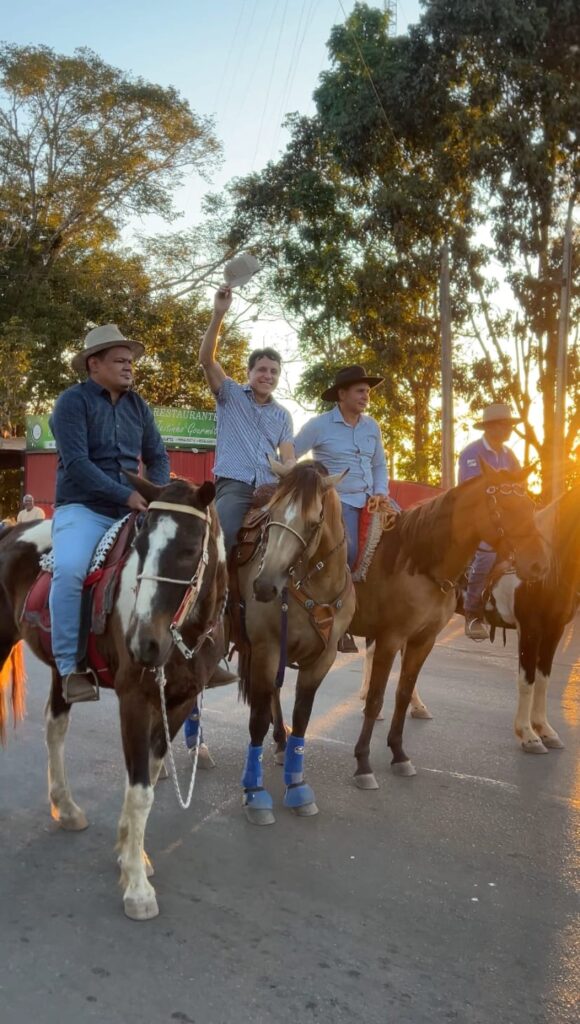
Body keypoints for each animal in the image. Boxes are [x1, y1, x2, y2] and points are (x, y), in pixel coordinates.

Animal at [0, 475, 227, 925]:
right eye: (141, 545)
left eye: (190, 549)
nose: (144, 643)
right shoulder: (135, 700)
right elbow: (140, 790)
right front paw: (137, 887)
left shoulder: (177, 703)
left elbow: (148, 778)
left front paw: (129, 853)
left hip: (62, 670)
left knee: (55, 727)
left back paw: (67, 808)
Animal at [237, 460, 356, 827]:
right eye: (272, 512)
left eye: (314, 521)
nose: (264, 585)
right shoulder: (265, 649)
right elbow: (257, 719)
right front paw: (255, 793)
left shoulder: (322, 658)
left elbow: (302, 715)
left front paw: (298, 786)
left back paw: (280, 742)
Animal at [348, 460, 553, 786]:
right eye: (502, 508)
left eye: (530, 506)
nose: (538, 565)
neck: (417, 562)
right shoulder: (390, 638)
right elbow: (377, 699)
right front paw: (363, 763)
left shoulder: (423, 640)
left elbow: (402, 694)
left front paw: (399, 754)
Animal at [491, 479, 580, 753]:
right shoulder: (530, 630)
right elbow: (527, 680)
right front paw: (528, 734)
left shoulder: (555, 631)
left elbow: (543, 680)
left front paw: (545, 730)